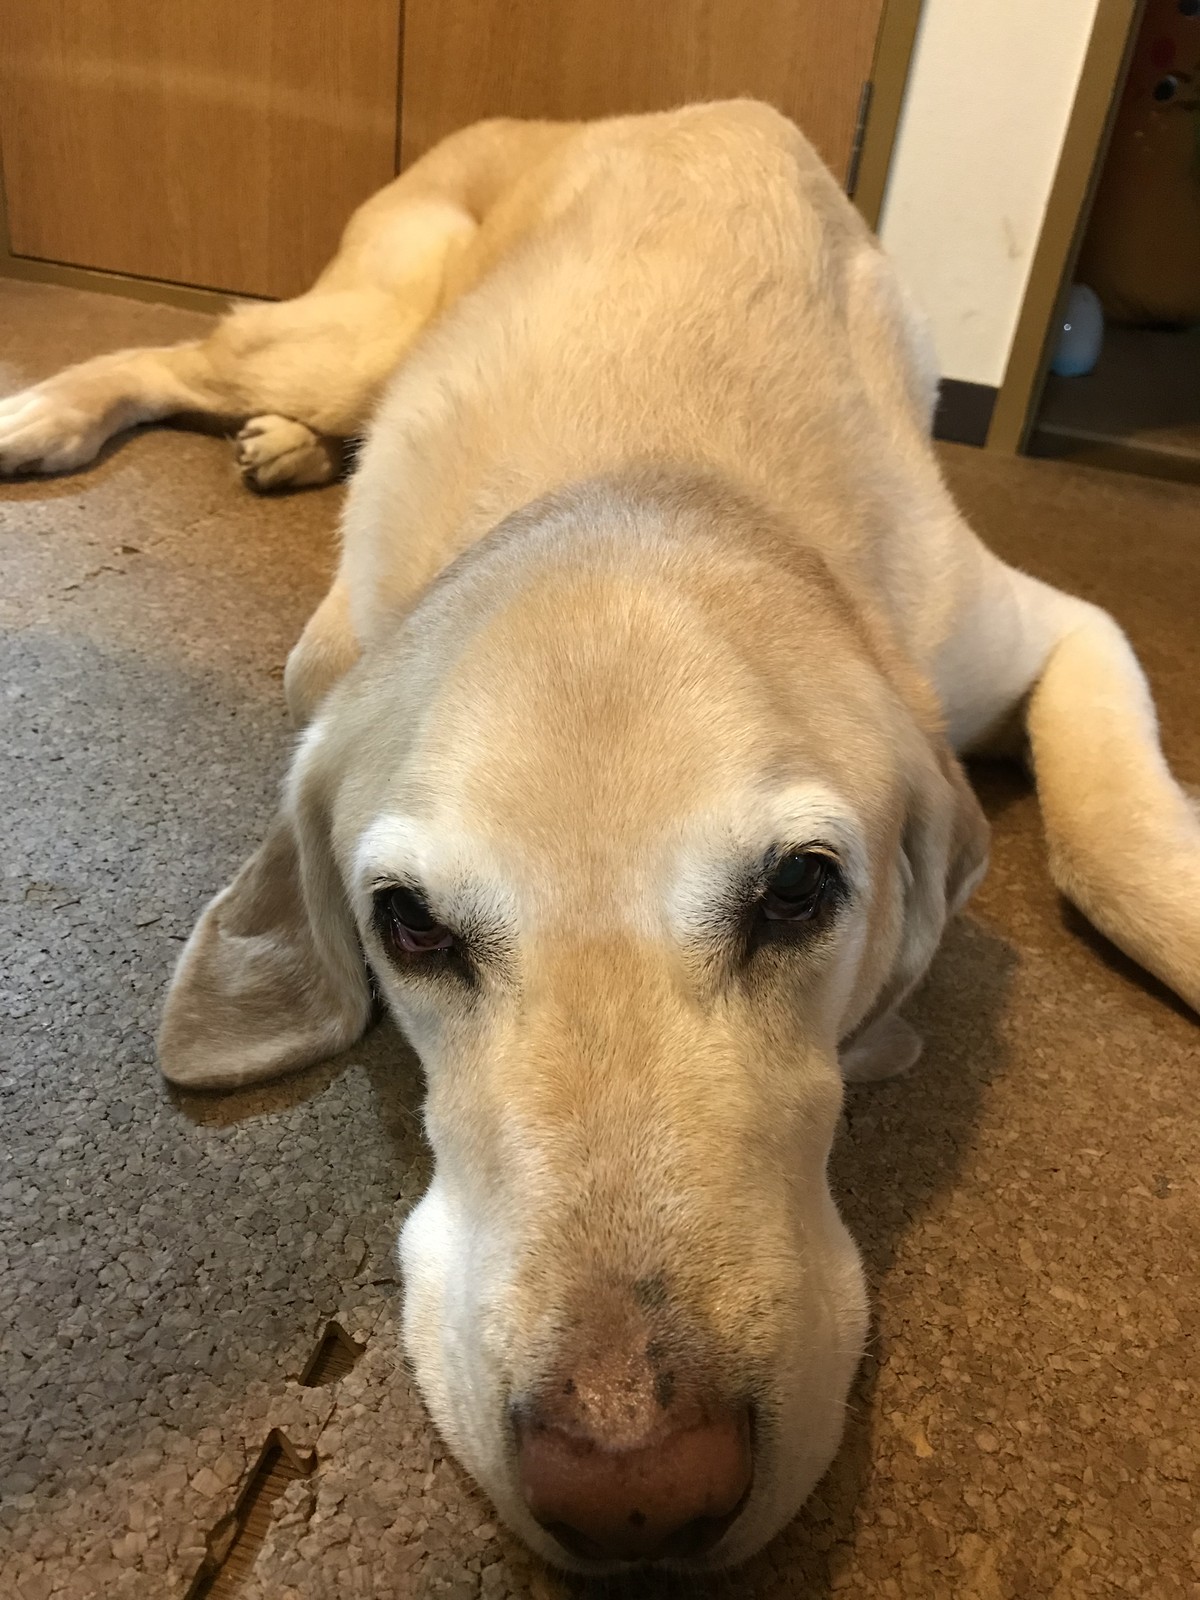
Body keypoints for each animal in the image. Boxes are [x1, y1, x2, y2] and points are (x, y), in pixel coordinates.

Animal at [3, 103, 1197, 1573]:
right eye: (409, 923)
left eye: (799, 893)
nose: (636, 1496)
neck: (648, 471)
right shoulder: (319, 665)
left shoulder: (1052, 627)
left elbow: (1122, 855)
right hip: (348, 333)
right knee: (187, 348)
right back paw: (46, 414)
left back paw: (278, 443)